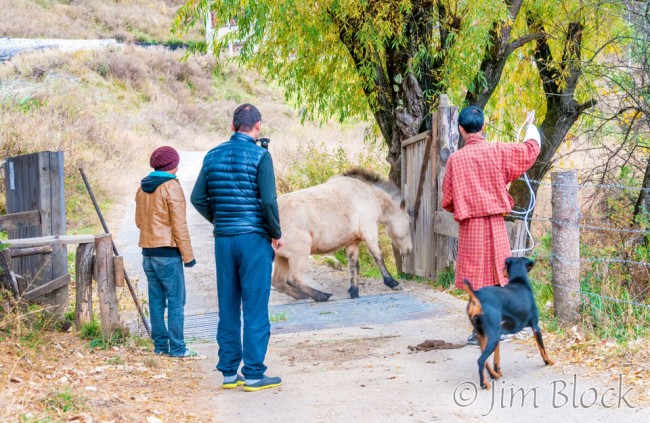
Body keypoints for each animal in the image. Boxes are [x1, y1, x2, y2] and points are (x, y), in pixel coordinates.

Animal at [270, 167, 412, 304]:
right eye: (409, 223)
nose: (409, 250)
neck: (369, 194)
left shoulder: (353, 242)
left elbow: (354, 266)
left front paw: (354, 291)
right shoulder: (370, 233)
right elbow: (378, 257)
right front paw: (393, 283)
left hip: (282, 258)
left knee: (279, 282)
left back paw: (303, 296)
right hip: (299, 254)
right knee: (293, 279)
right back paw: (321, 296)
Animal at [460, 256, 552, 390]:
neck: (519, 281)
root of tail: (477, 296)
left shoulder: (499, 333)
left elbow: (496, 357)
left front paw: (498, 370)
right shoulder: (536, 327)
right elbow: (542, 348)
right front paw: (548, 361)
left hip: (482, 335)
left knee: (485, 360)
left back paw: (494, 375)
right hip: (492, 337)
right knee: (481, 360)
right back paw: (484, 383)